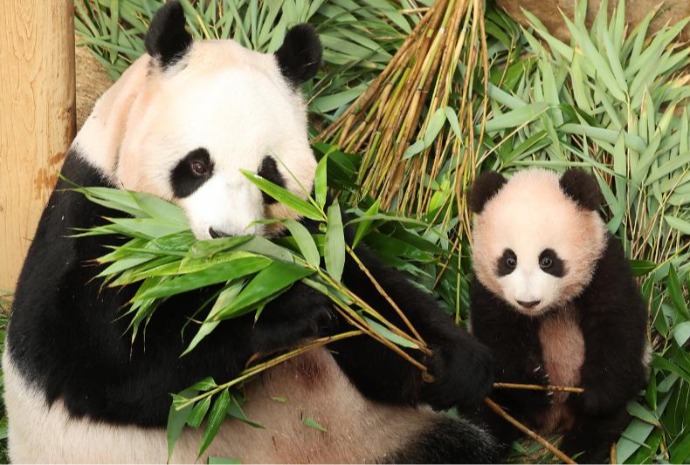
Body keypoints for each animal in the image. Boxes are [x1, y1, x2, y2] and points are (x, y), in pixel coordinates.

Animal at [3, 2, 498, 463]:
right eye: (197, 165)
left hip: (384, 435)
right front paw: (283, 311)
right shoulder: (95, 221)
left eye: (267, 172)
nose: (226, 236)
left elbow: (366, 296)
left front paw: (450, 362)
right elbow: (107, 368)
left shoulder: (313, 232)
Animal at [466, 168, 649, 463]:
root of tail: (553, 422)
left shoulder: (603, 265)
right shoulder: (488, 290)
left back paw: (578, 448)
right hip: (490, 393)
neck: (551, 308)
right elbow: (500, 340)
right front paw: (537, 388)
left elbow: (617, 325)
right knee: (485, 415)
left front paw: (594, 394)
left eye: (547, 260)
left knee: (603, 423)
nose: (528, 301)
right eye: (509, 260)